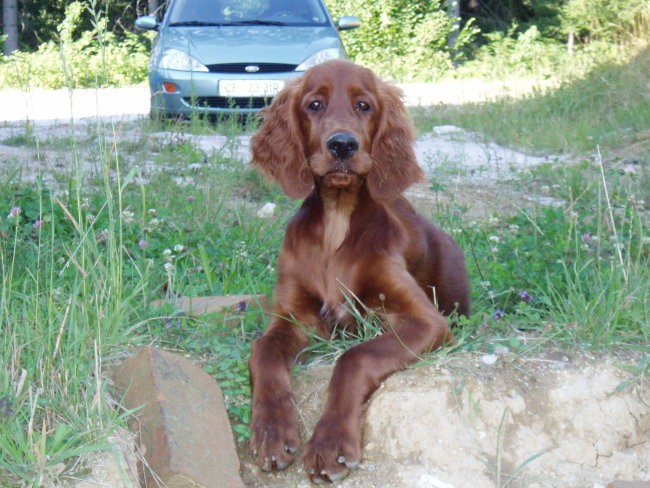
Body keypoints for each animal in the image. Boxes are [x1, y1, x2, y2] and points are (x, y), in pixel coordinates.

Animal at [247, 59, 466, 482]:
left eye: (364, 106)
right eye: (314, 104)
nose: (343, 145)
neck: (337, 221)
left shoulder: (427, 322)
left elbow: (355, 357)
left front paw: (331, 442)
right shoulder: (293, 317)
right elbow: (262, 351)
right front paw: (270, 431)